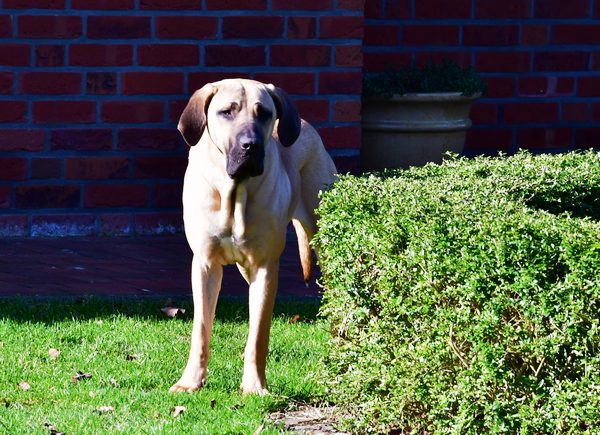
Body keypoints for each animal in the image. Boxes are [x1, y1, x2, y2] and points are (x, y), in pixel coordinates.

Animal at [170, 79, 337, 395]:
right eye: (227, 111)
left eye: (264, 113)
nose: (251, 145)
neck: (234, 193)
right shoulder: (205, 265)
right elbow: (201, 329)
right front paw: (191, 382)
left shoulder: (265, 267)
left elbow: (258, 334)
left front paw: (254, 385)